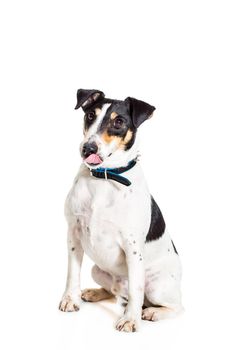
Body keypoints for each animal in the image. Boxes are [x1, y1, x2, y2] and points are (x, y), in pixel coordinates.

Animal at [59, 89, 183, 332]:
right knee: (113, 291)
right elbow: (72, 273)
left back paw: (152, 312)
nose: (88, 148)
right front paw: (71, 298)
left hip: (158, 286)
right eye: (90, 115)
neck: (104, 178)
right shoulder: (73, 234)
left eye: (119, 122)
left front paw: (130, 319)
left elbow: (136, 288)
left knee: (175, 306)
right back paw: (94, 293)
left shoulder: (132, 246)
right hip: (97, 270)